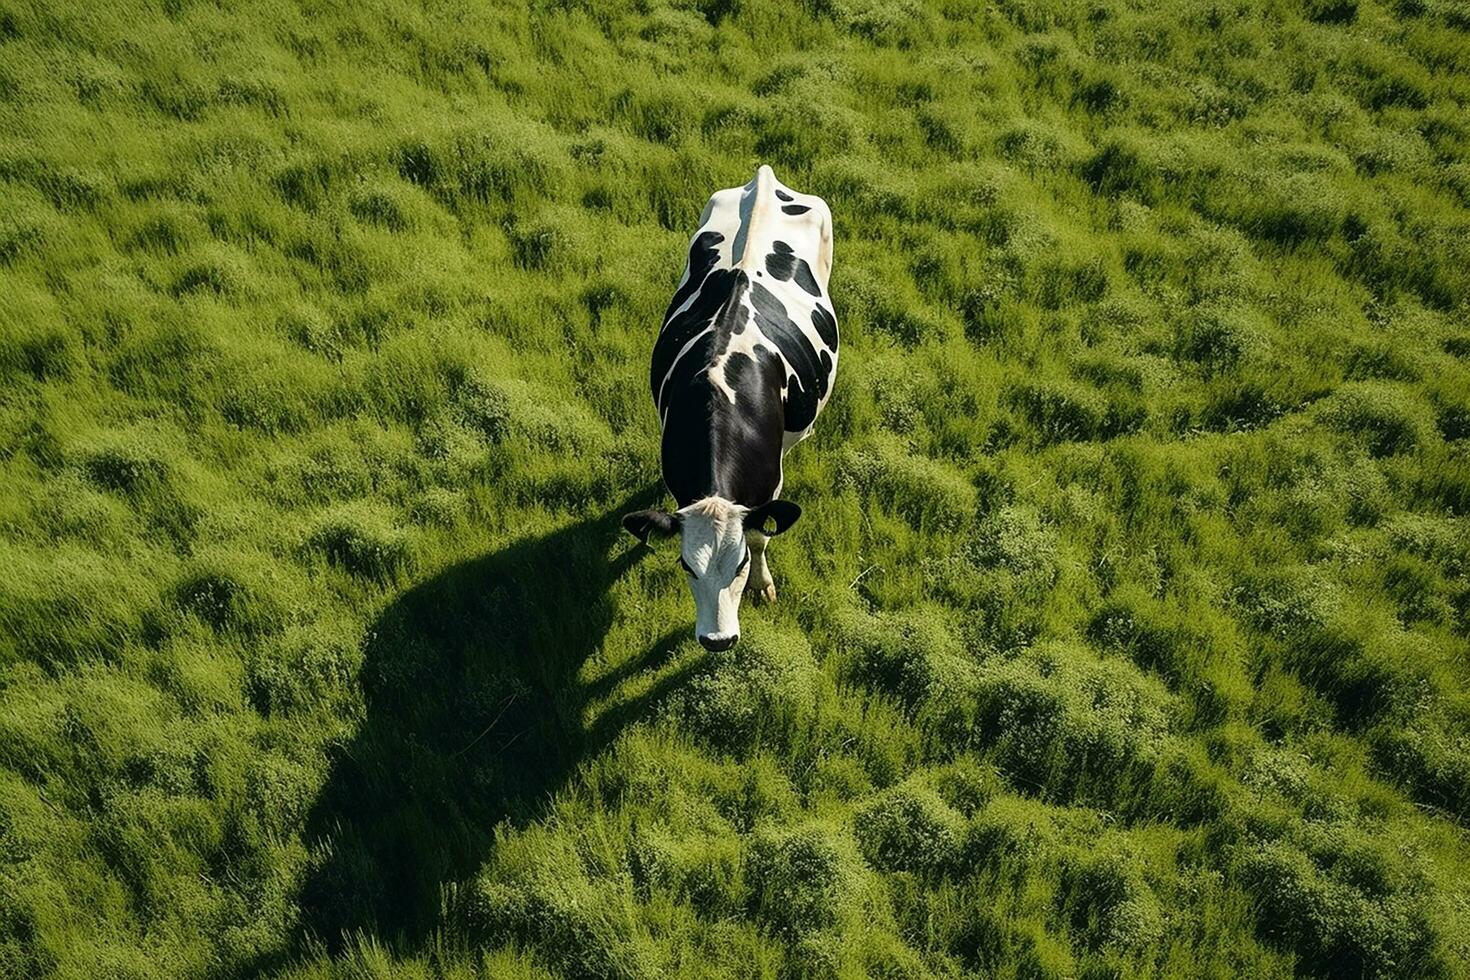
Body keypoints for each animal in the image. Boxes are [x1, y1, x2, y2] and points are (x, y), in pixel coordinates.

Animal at [620, 163, 840, 652]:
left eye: (737, 564)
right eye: (686, 565)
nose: (717, 640)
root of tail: (765, 178)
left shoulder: (768, 487)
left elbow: (760, 534)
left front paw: (762, 584)